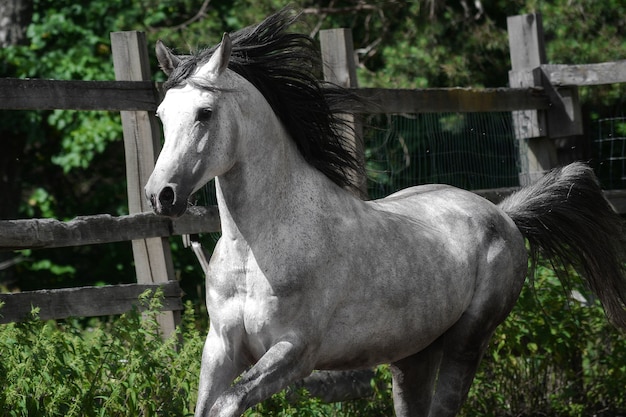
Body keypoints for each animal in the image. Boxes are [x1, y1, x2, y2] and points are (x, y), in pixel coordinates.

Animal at [144, 9, 624, 416]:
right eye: (162, 114)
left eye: (205, 113)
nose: (159, 195)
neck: (256, 251)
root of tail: (502, 215)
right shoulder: (220, 348)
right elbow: (207, 405)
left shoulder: (296, 351)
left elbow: (228, 403)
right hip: (413, 355)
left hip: (468, 342)